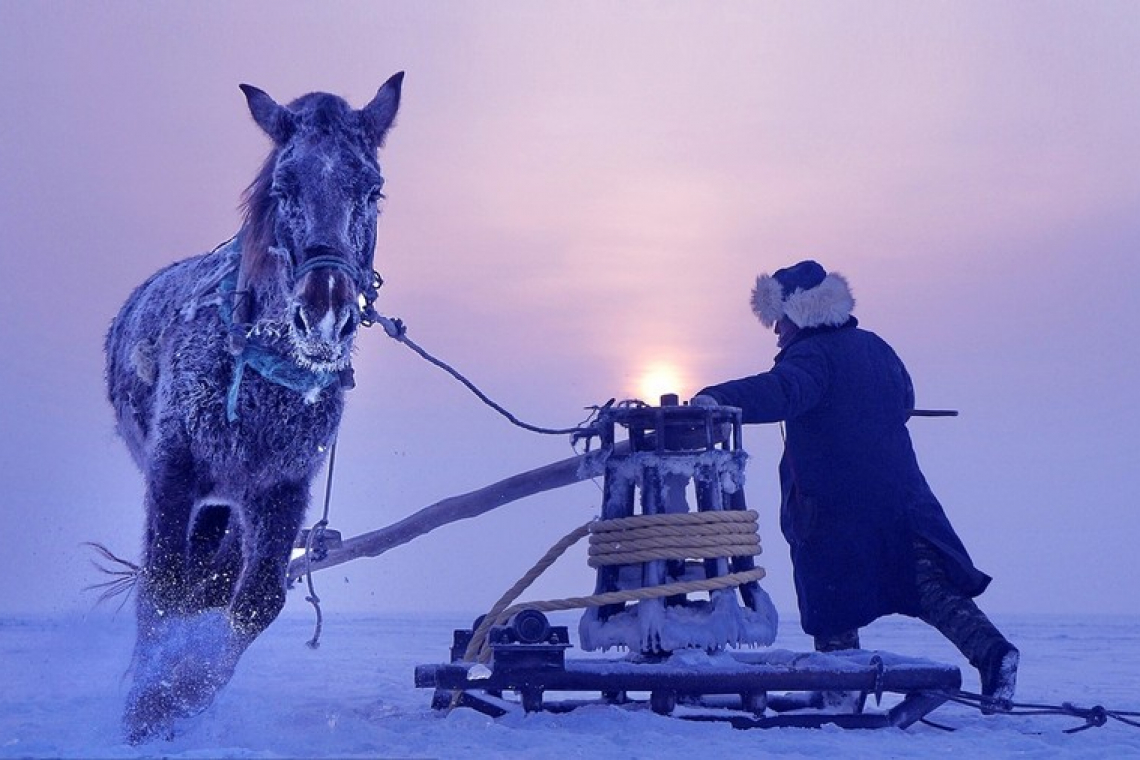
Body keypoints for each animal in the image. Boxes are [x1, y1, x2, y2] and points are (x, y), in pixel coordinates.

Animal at [103, 75, 405, 742]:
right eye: (282, 187)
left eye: (372, 189)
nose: (324, 314)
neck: (264, 378)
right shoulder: (173, 474)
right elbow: (161, 589)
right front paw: (144, 712)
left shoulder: (282, 491)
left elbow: (254, 600)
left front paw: (181, 696)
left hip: (231, 507)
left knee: (212, 584)